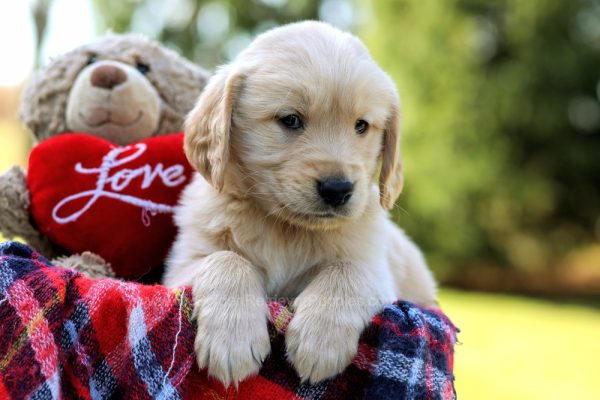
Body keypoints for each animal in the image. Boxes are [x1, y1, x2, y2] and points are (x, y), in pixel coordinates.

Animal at [164, 21, 436, 388]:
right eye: (290, 120)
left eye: (361, 126)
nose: (338, 189)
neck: (287, 229)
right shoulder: (181, 267)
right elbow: (227, 260)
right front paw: (232, 339)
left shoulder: (377, 272)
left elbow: (347, 271)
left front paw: (319, 341)